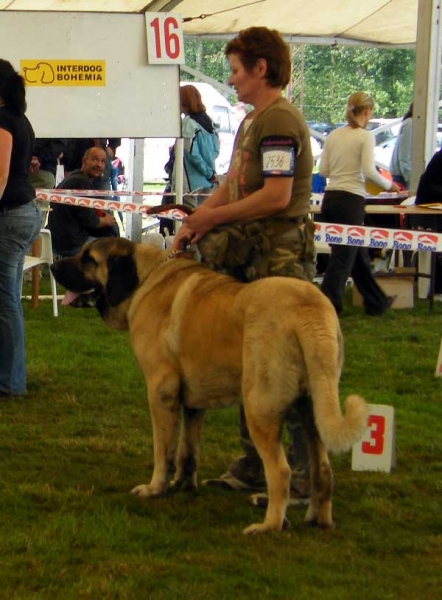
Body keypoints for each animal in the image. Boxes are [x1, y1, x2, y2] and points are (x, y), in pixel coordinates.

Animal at [51, 236, 368, 536]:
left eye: (89, 259)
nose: (53, 267)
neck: (144, 279)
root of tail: (309, 310)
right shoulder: (193, 401)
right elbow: (187, 449)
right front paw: (182, 485)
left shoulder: (161, 392)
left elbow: (163, 450)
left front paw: (155, 488)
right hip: (312, 406)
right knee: (322, 468)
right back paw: (319, 519)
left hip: (260, 408)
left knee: (280, 471)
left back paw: (268, 525)